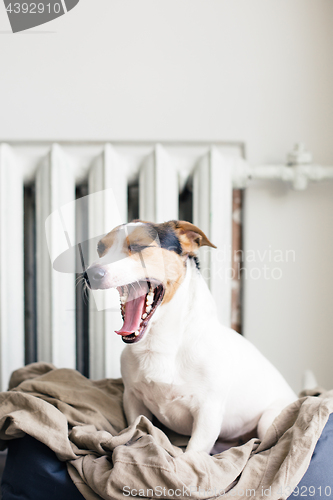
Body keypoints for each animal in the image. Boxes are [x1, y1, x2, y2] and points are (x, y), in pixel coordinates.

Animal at [84, 219, 296, 454]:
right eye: (100, 249)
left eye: (139, 246)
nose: (90, 274)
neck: (160, 341)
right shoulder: (133, 400)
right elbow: (137, 430)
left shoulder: (208, 413)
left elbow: (191, 455)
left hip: (268, 421)